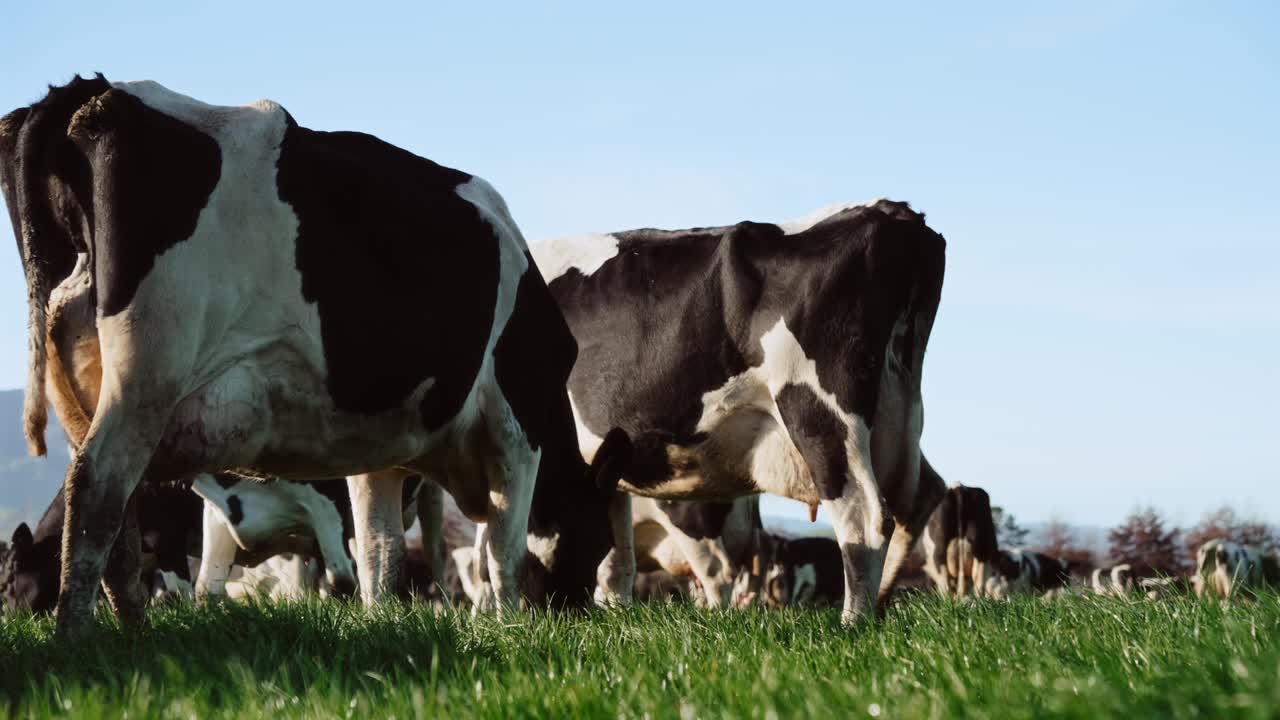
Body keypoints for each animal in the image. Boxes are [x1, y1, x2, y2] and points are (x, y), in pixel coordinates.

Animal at [0, 75, 627, 635]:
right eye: (597, 536)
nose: (573, 610)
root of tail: (96, 91)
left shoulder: (384, 451)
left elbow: (380, 554)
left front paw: (386, 620)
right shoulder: (518, 430)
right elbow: (504, 551)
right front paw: (512, 624)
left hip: (87, 393)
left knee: (118, 517)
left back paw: (131, 631)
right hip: (147, 375)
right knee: (97, 488)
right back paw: (77, 634)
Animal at [531, 199, 946, 624]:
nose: (562, 606)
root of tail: (892, 211)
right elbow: (615, 559)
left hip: (818, 409)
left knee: (864, 517)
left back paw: (853, 621)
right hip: (900, 413)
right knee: (919, 497)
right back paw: (878, 606)